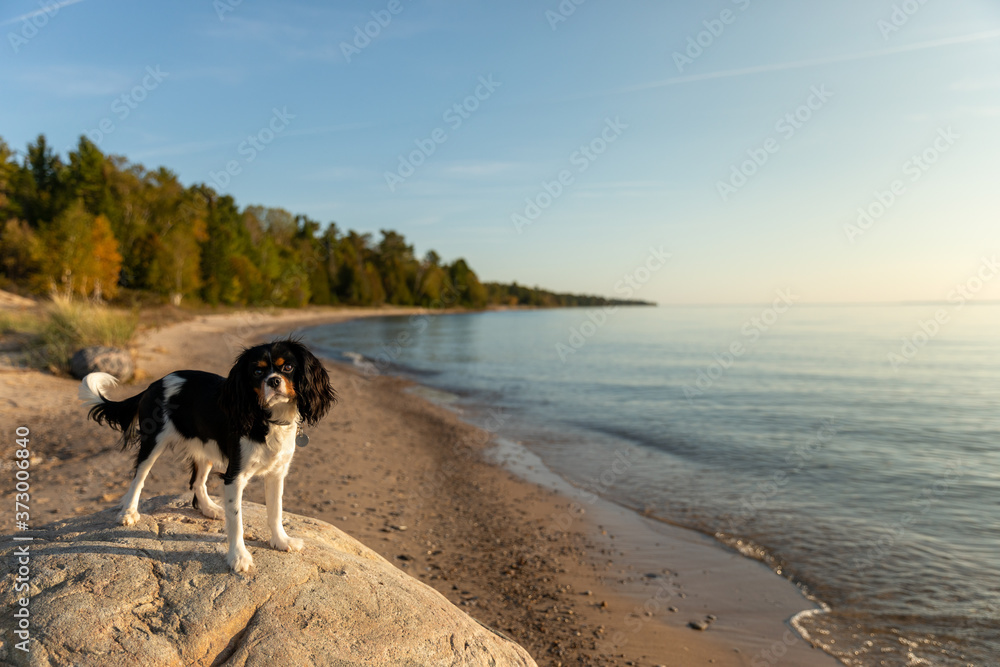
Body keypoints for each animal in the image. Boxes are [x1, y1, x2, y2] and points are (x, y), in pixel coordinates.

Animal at [78, 340, 336, 576]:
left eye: (288, 367)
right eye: (257, 372)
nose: (273, 381)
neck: (268, 418)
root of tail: (154, 384)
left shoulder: (277, 473)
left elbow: (276, 511)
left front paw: (281, 541)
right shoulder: (234, 476)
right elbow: (237, 521)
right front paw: (238, 557)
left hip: (204, 448)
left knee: (196, 482)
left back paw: (209, 508)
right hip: (154, 441)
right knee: (138, 477)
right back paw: (128, 513)